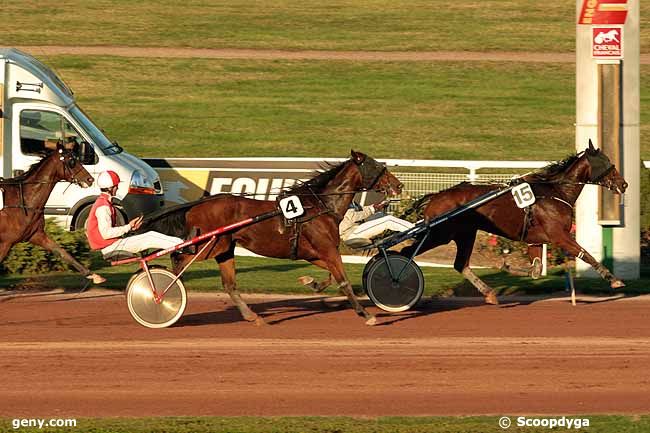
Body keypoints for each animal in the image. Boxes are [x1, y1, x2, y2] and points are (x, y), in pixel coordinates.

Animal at [0, 144, 104, 284]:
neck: (23, 201)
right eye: (72, 161)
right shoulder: (5, 242)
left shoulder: (36, 234)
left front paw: (92, 275)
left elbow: (61, 251)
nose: (90, 179)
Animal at [137, 150, 400, 326]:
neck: (320, 206)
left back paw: (251, 316)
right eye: (378, 166)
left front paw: (312, 283)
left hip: (225, 248)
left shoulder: (315, 253)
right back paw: (162, 293)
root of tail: (198, 204)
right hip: (208, 245)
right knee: (178, 258)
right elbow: (343, 280)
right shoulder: (328, 249)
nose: (398, 185)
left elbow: (330, 276)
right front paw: (366, 314)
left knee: (229, 285)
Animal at [398, 142, 624, 304]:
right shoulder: (559, 236)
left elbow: (536, 268)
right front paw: (613, 279)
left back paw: (489, 293)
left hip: (465, 234)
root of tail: (435, 196)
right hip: (440, 234)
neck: (555, 192)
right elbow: (586, 254)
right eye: (606, 161)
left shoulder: (535, 240)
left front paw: (508, 267)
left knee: (461, 264)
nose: (624, 184)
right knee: (406, 253)